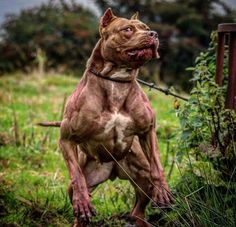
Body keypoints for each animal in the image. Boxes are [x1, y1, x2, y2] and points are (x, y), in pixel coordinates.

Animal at [38, 7, 171, 226]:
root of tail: (113, 171)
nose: (154, 34)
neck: (116, 80)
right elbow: (77, 177)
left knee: (137, 209)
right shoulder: (66, 139)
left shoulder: (148, 131)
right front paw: (83, 202)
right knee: (79, 200)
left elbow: (157, 165)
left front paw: (163, 191)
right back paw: (82, 211)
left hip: (142, 176)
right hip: (84, 177)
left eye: (146, 28)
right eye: (128, 29)